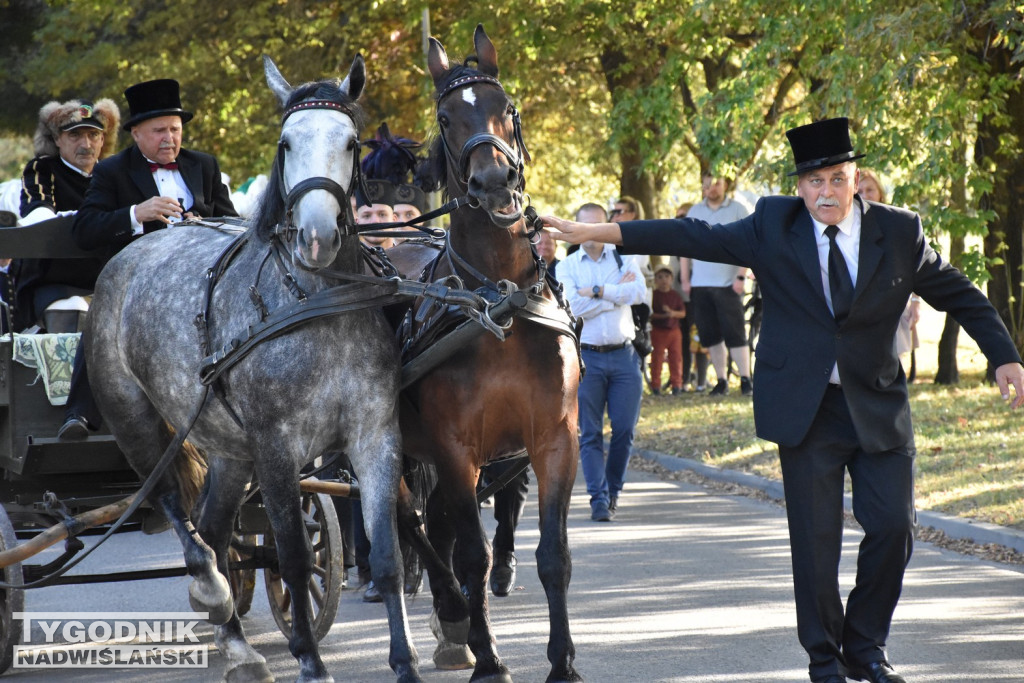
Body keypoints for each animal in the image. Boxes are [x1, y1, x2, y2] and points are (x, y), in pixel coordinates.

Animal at [87, 56, 419, 679]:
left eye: (350, 142)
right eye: (286, 143)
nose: (317, 235)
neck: (317, 302)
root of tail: (128, 258)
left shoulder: (375, 434)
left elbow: (387, 554)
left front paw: (406, 662)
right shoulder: (277, 447)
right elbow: (293, 556)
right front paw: (311, 659)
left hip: (229, 449)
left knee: (216, 528)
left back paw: (236, 642)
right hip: (136, 421)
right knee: (178, 512)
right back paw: (211, 591)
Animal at [389, 24, 585, 679]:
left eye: (508, 107)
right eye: (446, 117)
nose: (496, 182)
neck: (498, 300)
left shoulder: (554, 437)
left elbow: (554, 554)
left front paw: (563, 660)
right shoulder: (456, 448)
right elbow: (471, 554)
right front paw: (490, 657)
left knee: (436, 523)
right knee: (410, 521)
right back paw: (453, 613)